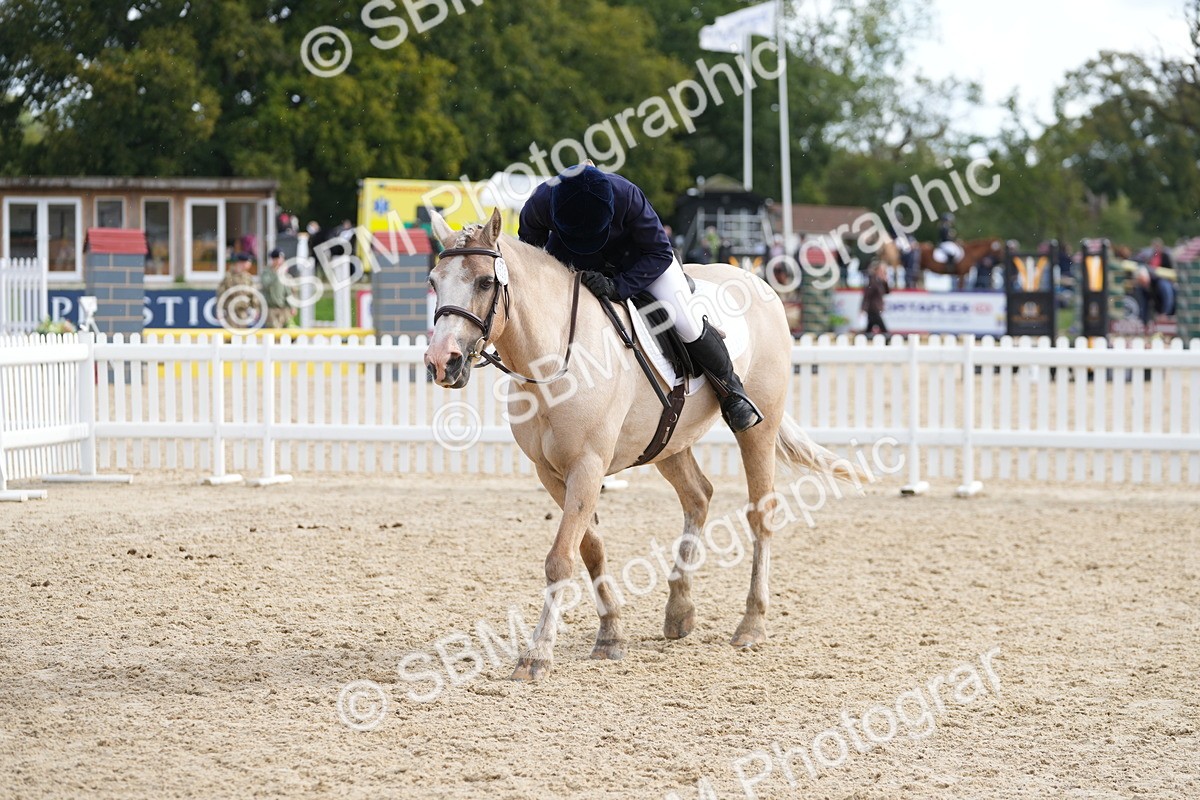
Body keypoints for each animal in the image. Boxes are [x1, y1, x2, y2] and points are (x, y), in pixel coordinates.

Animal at [423, 209, 854, 682]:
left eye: (485, 282)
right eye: (433, 281)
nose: (442, 362)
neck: (553, 358)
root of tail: (759, 283)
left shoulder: (587, 466)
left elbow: (561, 557)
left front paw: (536, 656)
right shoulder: (552, 473)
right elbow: (590, 548)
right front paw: (611, 635)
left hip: (759, 428)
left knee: (760, 514)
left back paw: (751, 624)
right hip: (668, 441)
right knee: (698, 497)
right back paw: (679, 611)